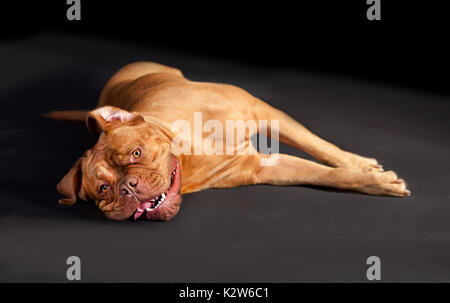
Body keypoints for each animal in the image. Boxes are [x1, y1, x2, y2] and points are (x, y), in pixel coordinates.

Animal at [47, 61, 410, 222]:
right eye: (103, 189)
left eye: (136, 153)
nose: (128, 187)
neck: (191, 150)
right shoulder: (266, 168)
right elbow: (325, 174)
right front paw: (372, 180)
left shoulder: (266, 112)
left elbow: (322, 148)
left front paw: (363, 166)